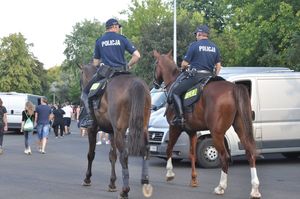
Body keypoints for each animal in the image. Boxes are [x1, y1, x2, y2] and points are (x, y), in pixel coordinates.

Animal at [79, 63, 152, 197]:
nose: (81, 86)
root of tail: (136, 83)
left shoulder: (92, 130)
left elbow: (91, 154)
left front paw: (87, 178)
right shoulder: (112, 132)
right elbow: (112, 156)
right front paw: (112, 183)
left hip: (120, 131)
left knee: (124, 155)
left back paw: (125, 190)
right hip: (143, 128)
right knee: (145, 150)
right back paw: (145, 180)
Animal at [154, 50, 262, 199]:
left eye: (155, 64)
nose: (155, 83)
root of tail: (233, 88)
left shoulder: (174, 127)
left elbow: (169, 149)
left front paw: (170, 174)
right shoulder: (192, 131)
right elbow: (192, 154)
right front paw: (193, 179)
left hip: (216, 134)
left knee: (225, 157)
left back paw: (221, 187)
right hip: (241, 128)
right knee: (250, 153)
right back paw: (254, 189)